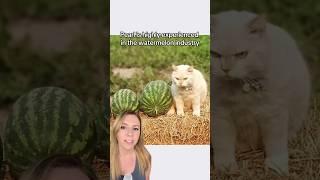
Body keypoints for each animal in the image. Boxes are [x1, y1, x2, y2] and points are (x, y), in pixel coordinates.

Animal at [211, 10, 312, 175]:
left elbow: (275, 144)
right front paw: (225, 167)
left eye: (242, 54)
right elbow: (223, 144)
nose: (226, 69)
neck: (240, 87)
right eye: (214, 54)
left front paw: (276, 166)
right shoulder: (220, 115)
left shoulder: (273, 114)